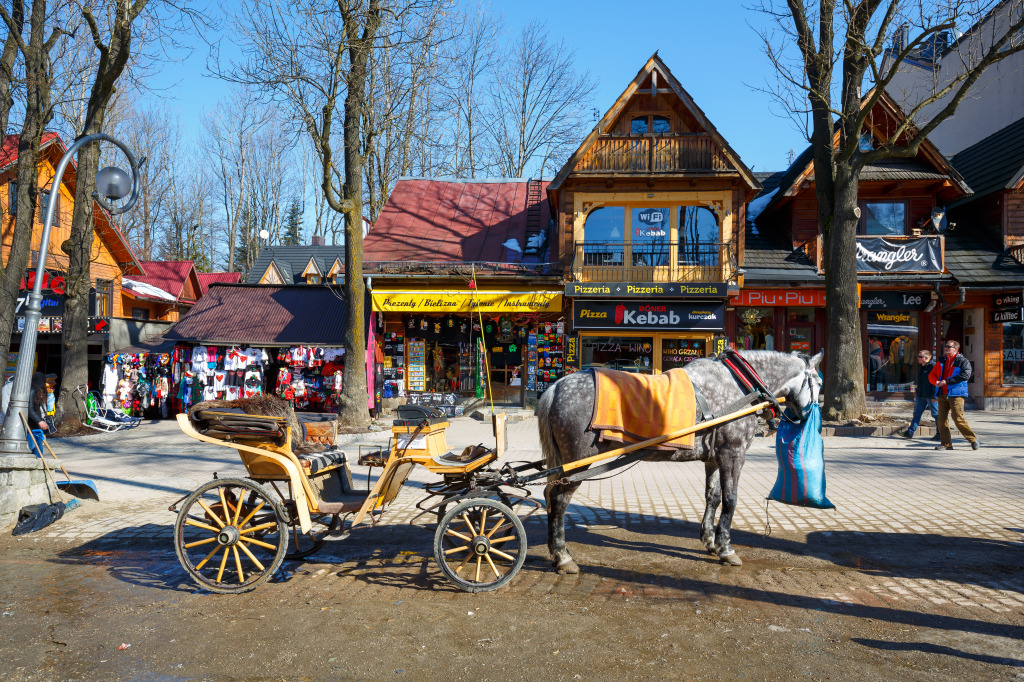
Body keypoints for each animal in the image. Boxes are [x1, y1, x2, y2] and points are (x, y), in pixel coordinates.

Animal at [536, 348, 823, 569]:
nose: (808, 417)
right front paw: (726, 548)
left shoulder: (714, 458)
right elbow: (730, 500)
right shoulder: (733, 453)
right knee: (559, 499)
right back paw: (562, 555)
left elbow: (713, 497)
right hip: (577, 461)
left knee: (550, 495)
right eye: (818, 383)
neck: (739, 386)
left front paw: (710, 540)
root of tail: (556, 387)